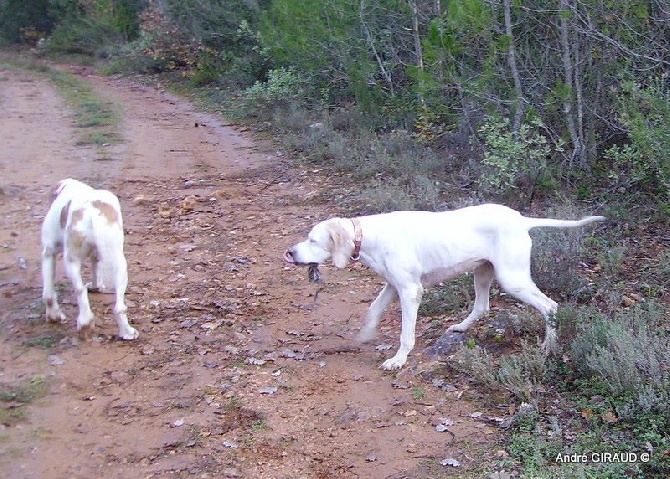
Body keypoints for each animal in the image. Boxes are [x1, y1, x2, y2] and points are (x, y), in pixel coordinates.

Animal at [40, 178, 139, 340]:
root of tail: (90, 211)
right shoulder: (96, 255)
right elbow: (96, 270)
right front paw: (97, 287)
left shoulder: (48, 253)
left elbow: (48, 294)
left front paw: (54, 316)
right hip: (119, 263)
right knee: (118, 306)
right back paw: (125, 331)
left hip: (73, 260)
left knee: (80, 290)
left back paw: (86, 322)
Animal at [286, 204, 608, 370]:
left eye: (313, 240)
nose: (290, 252)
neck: (367, 236)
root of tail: (521, 219)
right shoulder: (393, 284)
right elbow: (372, 310)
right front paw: (365, 335)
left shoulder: (410, 291)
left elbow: (406, 334)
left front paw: (398, 359)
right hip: (482, 272)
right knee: (482, 306)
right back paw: (461, 328)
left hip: (512, 279)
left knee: (550, 306)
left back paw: (549, 345)